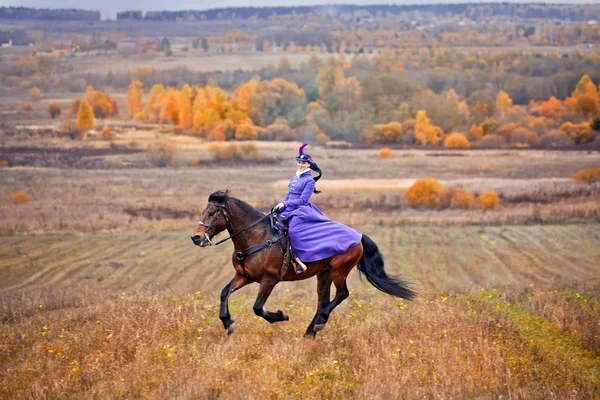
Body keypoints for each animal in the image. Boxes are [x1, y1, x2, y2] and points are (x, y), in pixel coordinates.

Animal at [190, 191, 414, 338]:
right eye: (203, 211)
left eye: (212, 213)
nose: (196, 237)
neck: (257, 237)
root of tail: (358, 236)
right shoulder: (244, 277)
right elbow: (224, 293)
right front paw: (228, 323)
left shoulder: (269, 280)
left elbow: (257, 308)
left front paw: (280, 316)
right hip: (324, 273)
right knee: (323, 301)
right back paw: (310, 331)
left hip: (338, 271)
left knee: (342, 294)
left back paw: (319, 324)